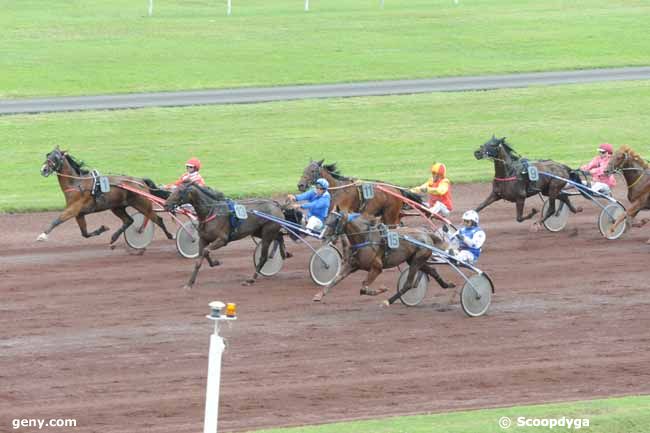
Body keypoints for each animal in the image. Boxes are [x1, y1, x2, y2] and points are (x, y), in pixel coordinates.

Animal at [38, 145, 172, 246]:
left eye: (56, 157)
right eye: (47, 155)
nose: (43, 169)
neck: (76, 183)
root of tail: (140, 181)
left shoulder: (73, 209)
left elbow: (57, 220)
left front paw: (42, 235)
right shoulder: (80, 214)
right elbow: (85, 233)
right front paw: (103, 228)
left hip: (142, 204)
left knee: (157, 219)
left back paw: (170, 235)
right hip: (117, 207)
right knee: (129, 220)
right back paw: (114, 237)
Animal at [312, 211, 454, 302]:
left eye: (334, 222)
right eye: (326, 219)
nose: (323, 236)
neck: (364, 238)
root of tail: (426, 233)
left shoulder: (376, 268)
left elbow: (363, 288)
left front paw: (382, 289)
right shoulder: (351, 265)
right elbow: (335, 279)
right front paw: (318, 295)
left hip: (417, 260)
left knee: (409, 284)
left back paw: (388, 301)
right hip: (415, 259)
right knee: (432, 271)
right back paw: (447, 285)